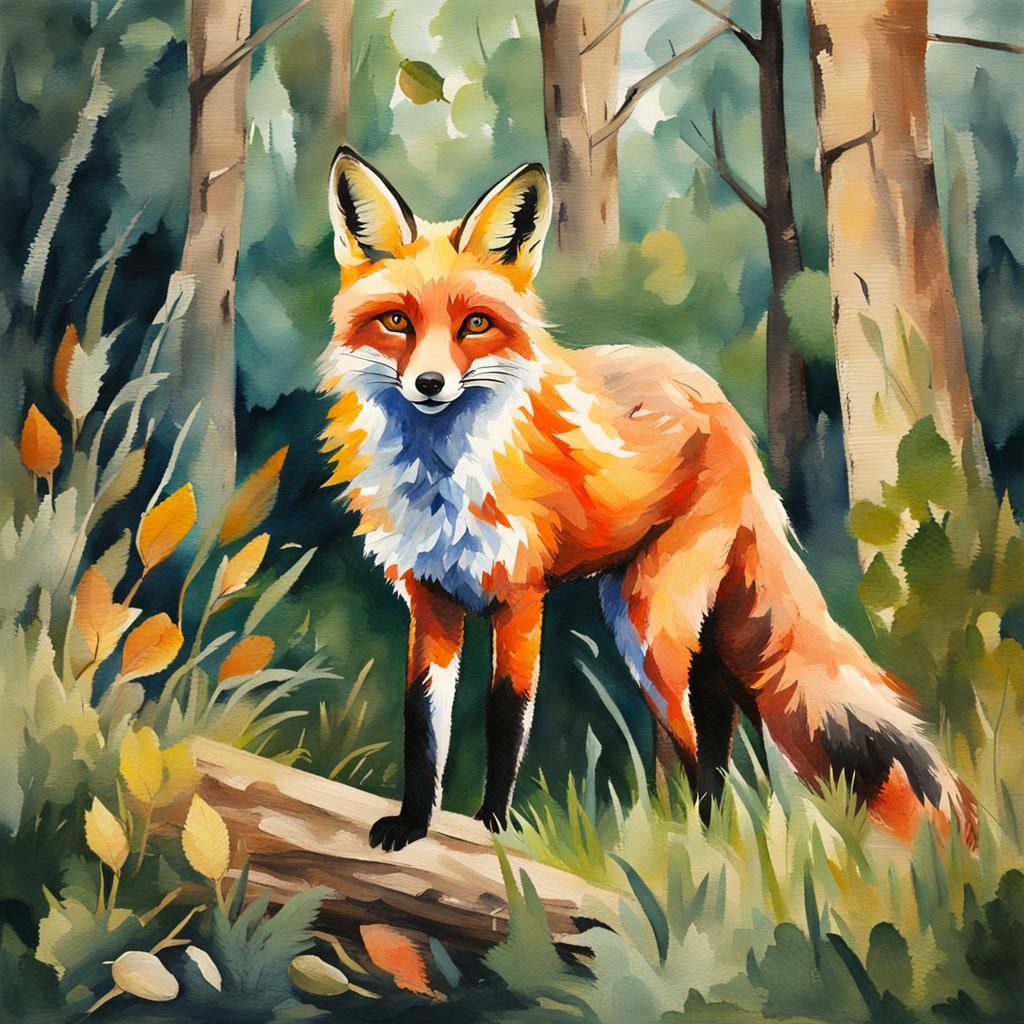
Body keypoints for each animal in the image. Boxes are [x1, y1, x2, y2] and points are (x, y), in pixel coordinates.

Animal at [317, 146, 978, 853]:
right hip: (673, 625)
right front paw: (414, 823)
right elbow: (422, 724)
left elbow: (506, 719)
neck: (442, 479)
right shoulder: (431, 600)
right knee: (716, 721)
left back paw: (715, 845)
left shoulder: (521, 599)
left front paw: (493, 830)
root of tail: (721, 405)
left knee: (697, 745)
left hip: (650, 625)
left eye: (475, 324)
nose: (430, 383)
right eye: (397, 321)